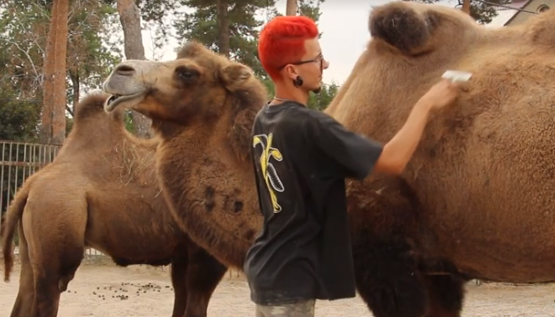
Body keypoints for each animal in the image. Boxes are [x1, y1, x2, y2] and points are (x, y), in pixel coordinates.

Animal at [1, 90, 228, 314]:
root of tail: (30, 185)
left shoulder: (183, 251)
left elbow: (181, 296)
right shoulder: (205, 251)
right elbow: (196, 300)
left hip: (31, 245)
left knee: (26, 289)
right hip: (56, 214)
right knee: (53, 285)